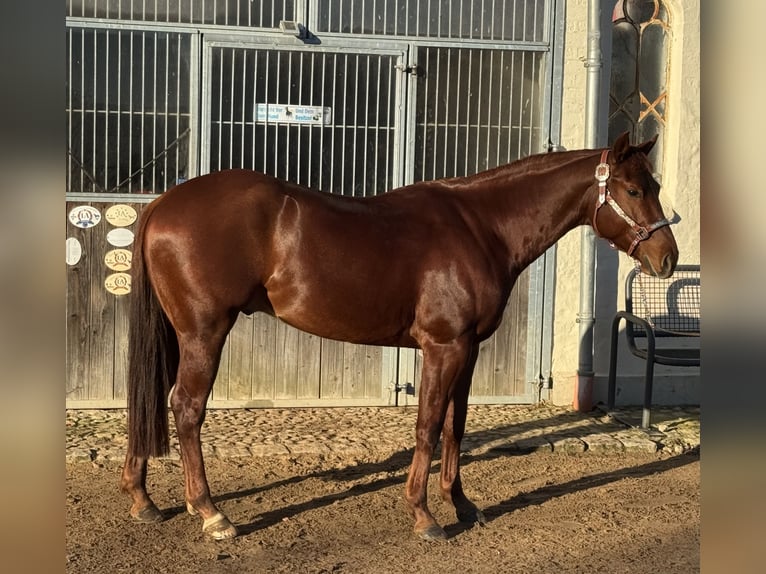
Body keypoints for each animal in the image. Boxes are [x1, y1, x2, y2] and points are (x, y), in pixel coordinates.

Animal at [120, 132, 678, 541]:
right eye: (633, 190)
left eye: (655, 185)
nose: (667, 258)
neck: (482, 228)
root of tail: (163, 203)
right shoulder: (442, 347)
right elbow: (427, 427)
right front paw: (425, 516)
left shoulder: (468, 350)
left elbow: (456, 427)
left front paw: (463, 505)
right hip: (205, 332)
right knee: (186, 407)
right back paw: (211, 512)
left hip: (178, 332)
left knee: (150, 400)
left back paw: (143, 500)